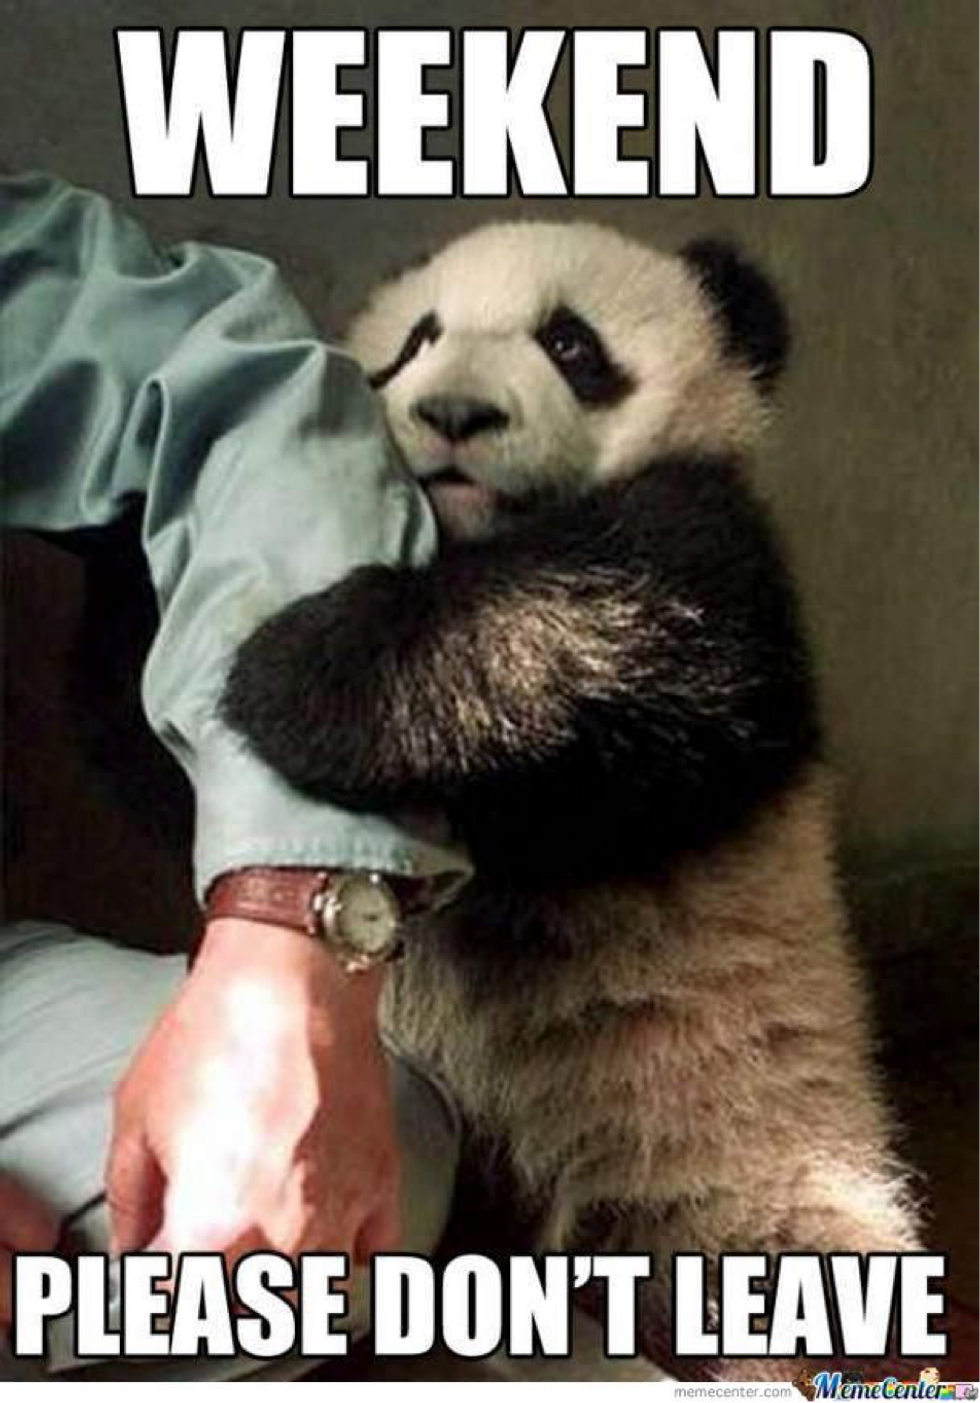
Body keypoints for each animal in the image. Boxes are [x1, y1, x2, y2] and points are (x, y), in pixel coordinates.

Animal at [222, 222, 920, 1371]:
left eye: (571, 344)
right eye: (416, 340)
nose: (455, 415)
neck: (480, 532)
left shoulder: (720, 568)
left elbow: (579, 637)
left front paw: (291, 669)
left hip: (713, 1122)